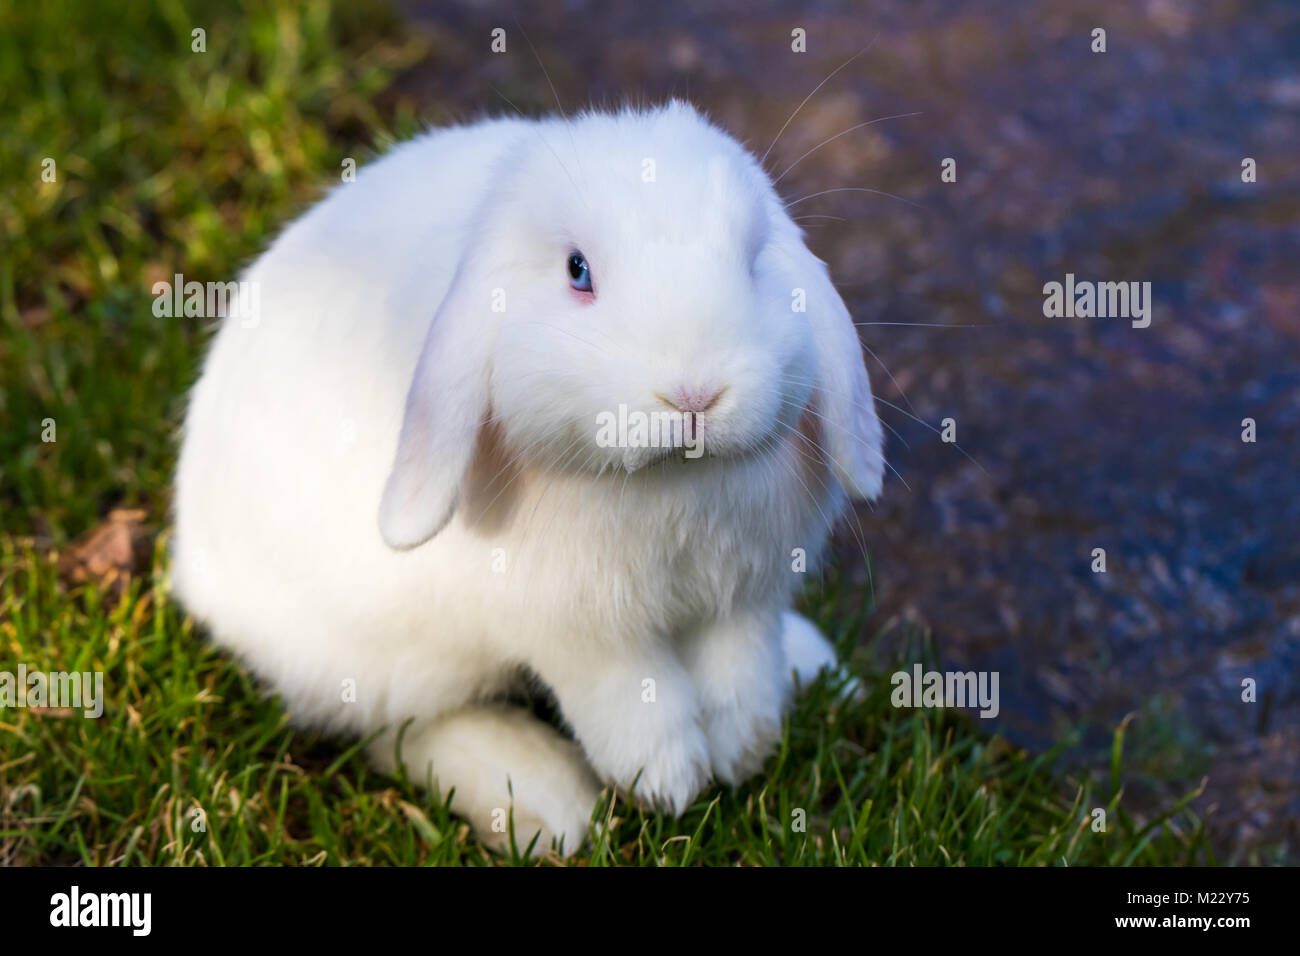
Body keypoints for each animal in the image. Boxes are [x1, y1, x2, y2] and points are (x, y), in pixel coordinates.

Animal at [170, 102, 883, 853]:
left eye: (753, 262)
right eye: (578, 271)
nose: (694, 394)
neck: (669, 483)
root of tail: (194, 567)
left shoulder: (745, 595)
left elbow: (738, 669)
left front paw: (744, 749)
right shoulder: (574, 626)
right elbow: (628, 692)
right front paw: (668, 780)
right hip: (381, 657)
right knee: (399, 730)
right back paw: (548, 804)